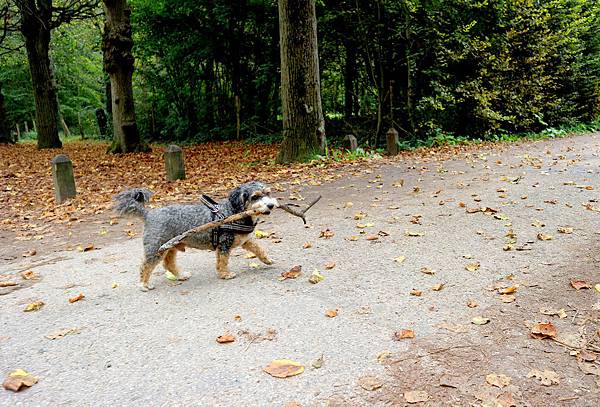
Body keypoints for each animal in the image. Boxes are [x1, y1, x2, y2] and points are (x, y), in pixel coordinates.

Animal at [113, 181, 278, 290]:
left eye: (268, 193)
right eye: (255, 197)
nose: (270, 205)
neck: (232, 211)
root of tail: (148, 214)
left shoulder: (245, 240)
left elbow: (258, 248)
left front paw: (267, 259)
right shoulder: (224, 245)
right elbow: (223, 262)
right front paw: (225, 274)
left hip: (170, 247)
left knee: (168, 264)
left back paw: (180, 275)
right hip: (156, 248)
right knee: (145, 266)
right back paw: (144, 284)